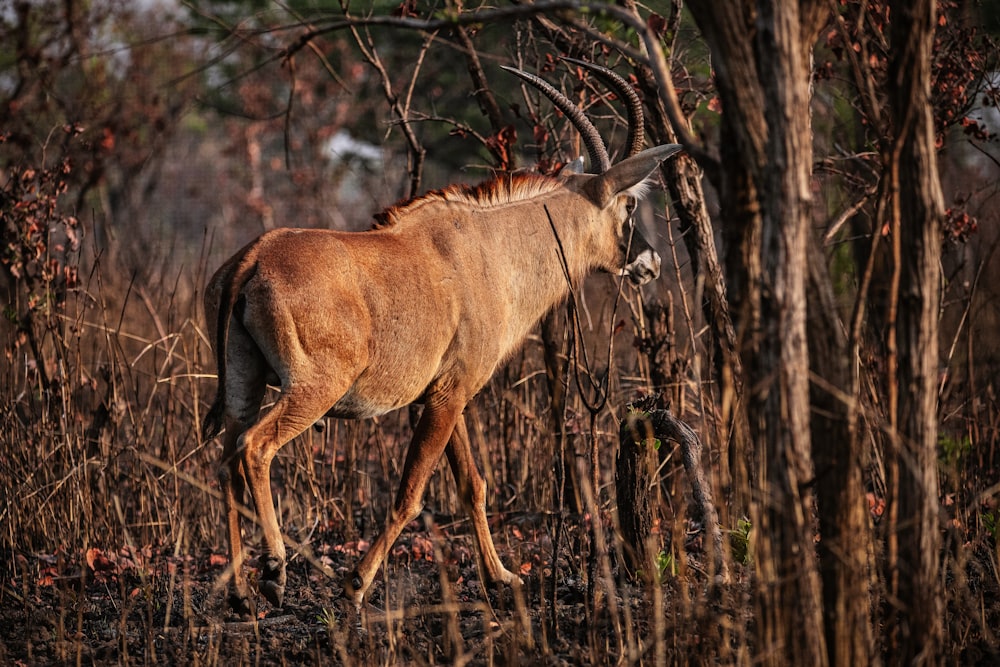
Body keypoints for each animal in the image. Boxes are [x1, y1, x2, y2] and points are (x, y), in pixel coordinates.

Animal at [203, 62, 688, 616]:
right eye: (629, 205)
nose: (651, 263)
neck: (493, 248)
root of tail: (255, 257)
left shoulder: (444, 394)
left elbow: (471, 484)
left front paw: (501, 578)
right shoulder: (451, 394)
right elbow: (411, 493)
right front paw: (356, 584)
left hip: (243, 385)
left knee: (226, 462)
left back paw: (241, 593)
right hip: (313, 389)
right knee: (255, 447)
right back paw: (274, 573)